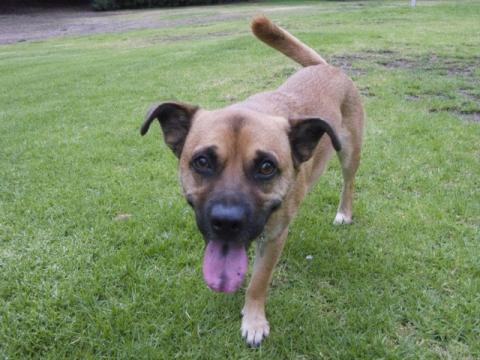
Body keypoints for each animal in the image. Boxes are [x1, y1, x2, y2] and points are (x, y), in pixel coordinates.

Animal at [141, 16, 362, 346]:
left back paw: (344, 212)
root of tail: (326, 67)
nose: (226, 221)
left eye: (266, 167)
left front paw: (254, 319)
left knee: (348, 183)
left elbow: (259, 281)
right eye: (202, 162)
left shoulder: (273, 238)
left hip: (350, 153)